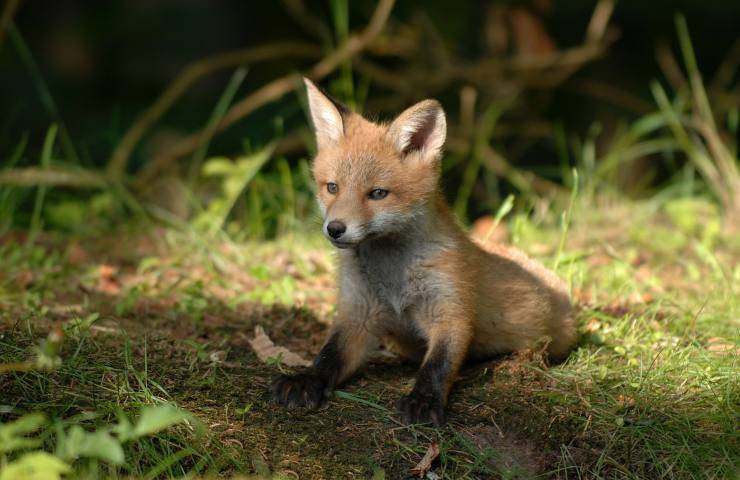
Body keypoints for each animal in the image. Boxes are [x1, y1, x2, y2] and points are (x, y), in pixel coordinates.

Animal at [272, 79, 580, 428]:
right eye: (332, 188)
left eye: (378, 193)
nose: (335, 229)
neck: (392, 274)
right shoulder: (358, 314)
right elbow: (328, 355)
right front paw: (306, 379)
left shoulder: (450, 310)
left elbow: (438, 365)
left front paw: (424, 400)